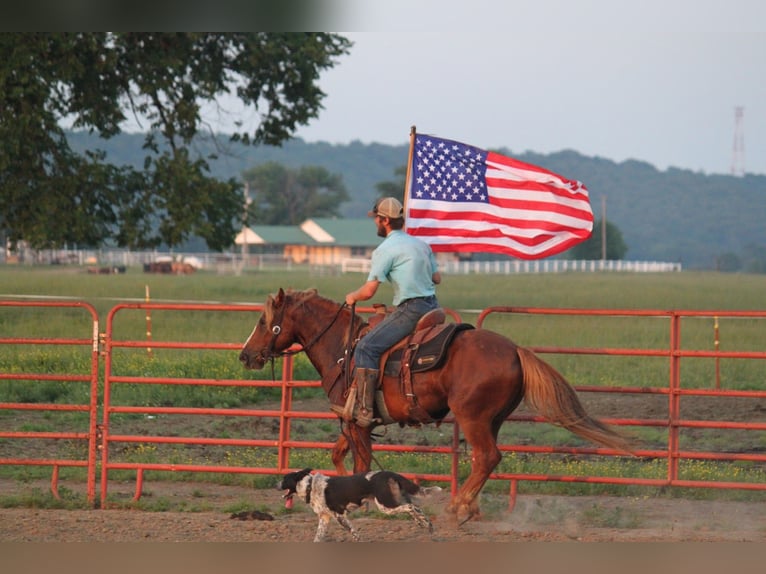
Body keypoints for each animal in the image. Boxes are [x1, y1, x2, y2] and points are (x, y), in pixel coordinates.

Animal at [242, 288, 636, 528]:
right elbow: (341, 454)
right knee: (485, 459)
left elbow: (361, 463)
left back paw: (457, 508)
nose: (245, 355)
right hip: (492, 418)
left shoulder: (358, 422)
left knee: (487, 456)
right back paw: (469, 507)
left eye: (263, 321)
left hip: (472, 416)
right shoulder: (352, 420)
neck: (344, 348)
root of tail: (514, 350)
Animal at [280, 468, 440, 544]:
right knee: (414, 507)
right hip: (394, 500)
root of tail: (390, 473)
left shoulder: (340, 516)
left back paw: (428, 525)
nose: (277, 484)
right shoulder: (324, 518)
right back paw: (424, 524)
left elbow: (354, 534)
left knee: (412, 507)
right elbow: (318, 538)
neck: (310, 486)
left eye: (285, 479)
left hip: (385, 505)